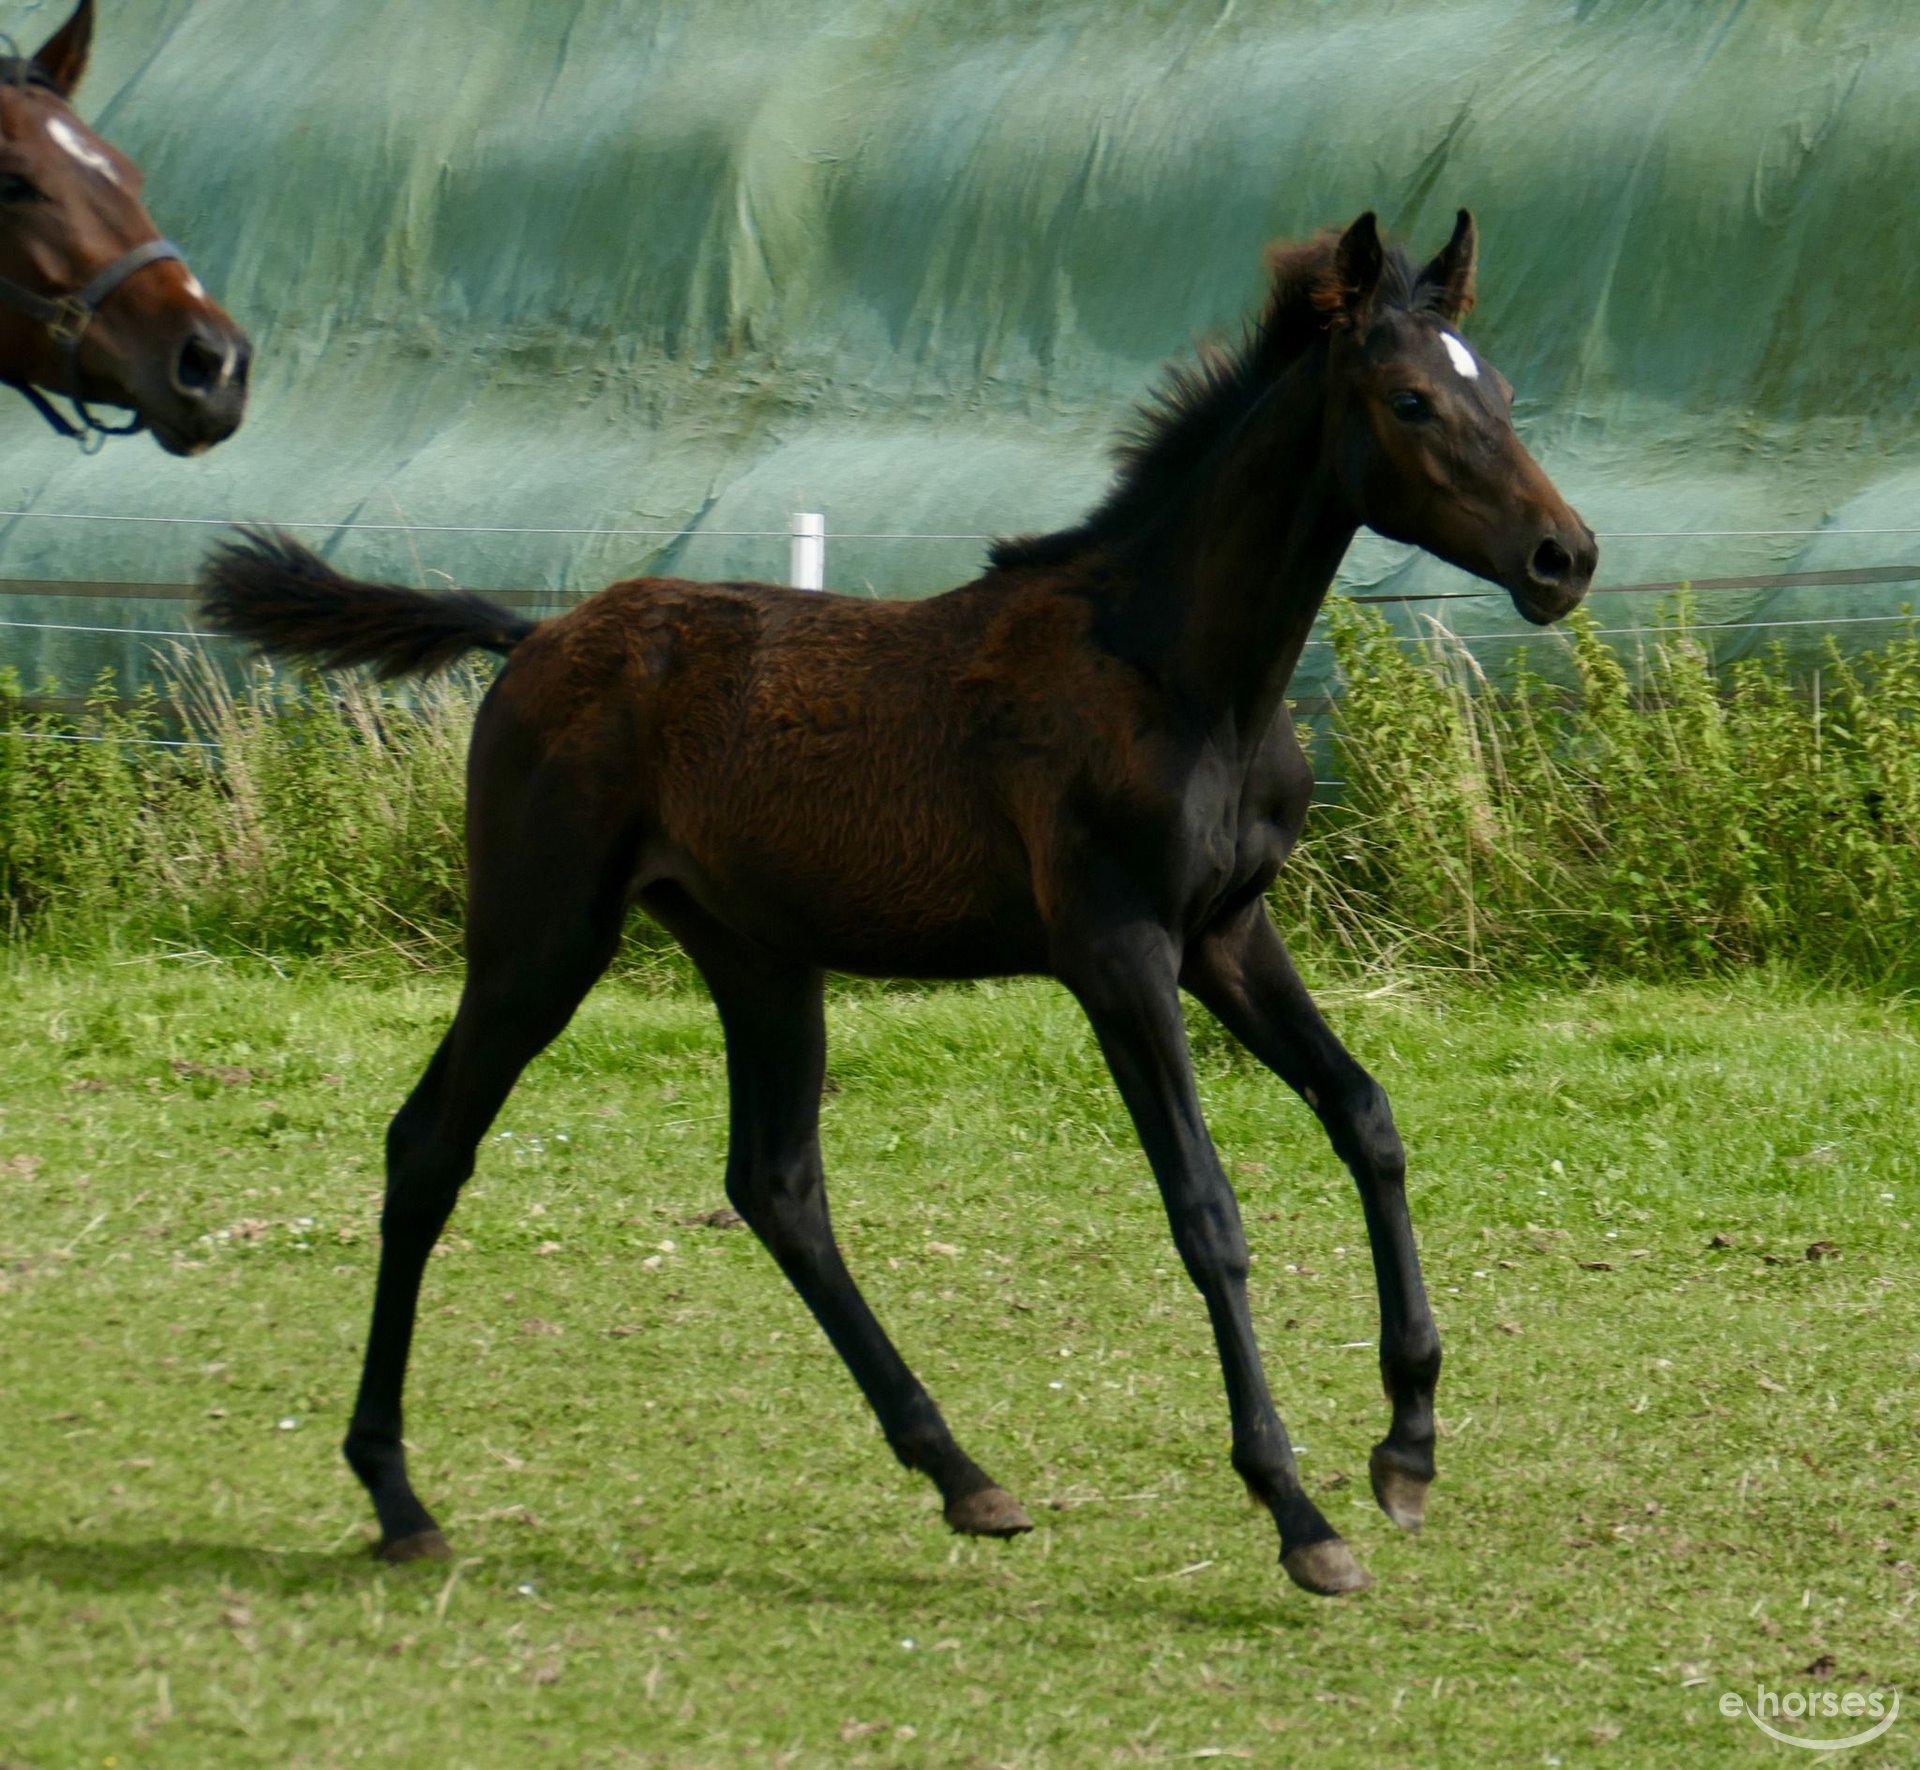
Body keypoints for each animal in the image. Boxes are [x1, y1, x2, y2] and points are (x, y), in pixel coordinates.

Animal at [202, 214, 1597, 1597]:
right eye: (1410, 399)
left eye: (1501, 391)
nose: (1564, 557)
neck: (1175, 673)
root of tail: (532, 638)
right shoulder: (1117, 952)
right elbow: (1207, 1208)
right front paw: (1298, 1513)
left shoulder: (1228, 933)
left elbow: (1367, 1117)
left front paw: (1408, 1444)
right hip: (540, 939)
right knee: (430, 1144)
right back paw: (396, 1493)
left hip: (757, 955)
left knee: (775, 1184)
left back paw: (962, 1473)